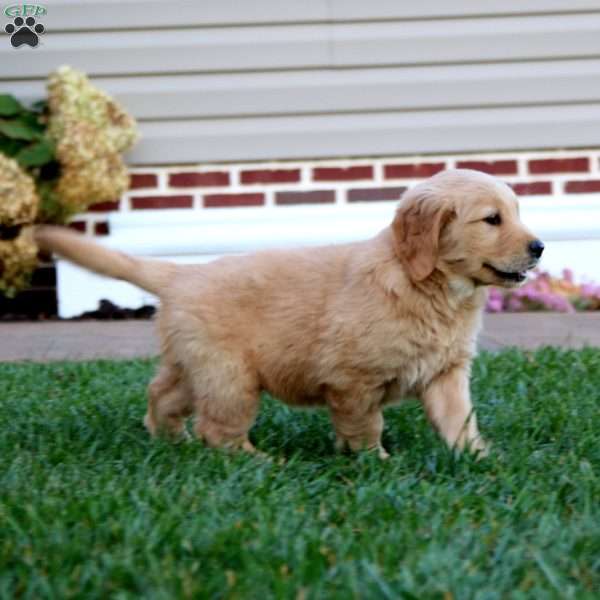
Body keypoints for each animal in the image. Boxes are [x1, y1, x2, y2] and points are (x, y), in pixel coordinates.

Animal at [36, 169, 544, 460]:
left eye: (517, 212)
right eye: (492, 219)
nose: (540, 247)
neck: (429, 286)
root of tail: (183, 273)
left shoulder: (446, 371)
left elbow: (459, 419)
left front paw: (478, 458)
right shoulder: (354, 379)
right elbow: (366, 425)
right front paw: (374, 462)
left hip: (195, 365)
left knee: (163, 394)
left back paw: (168, 439)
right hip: (231, 377)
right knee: (217, 430)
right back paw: (261, 463)